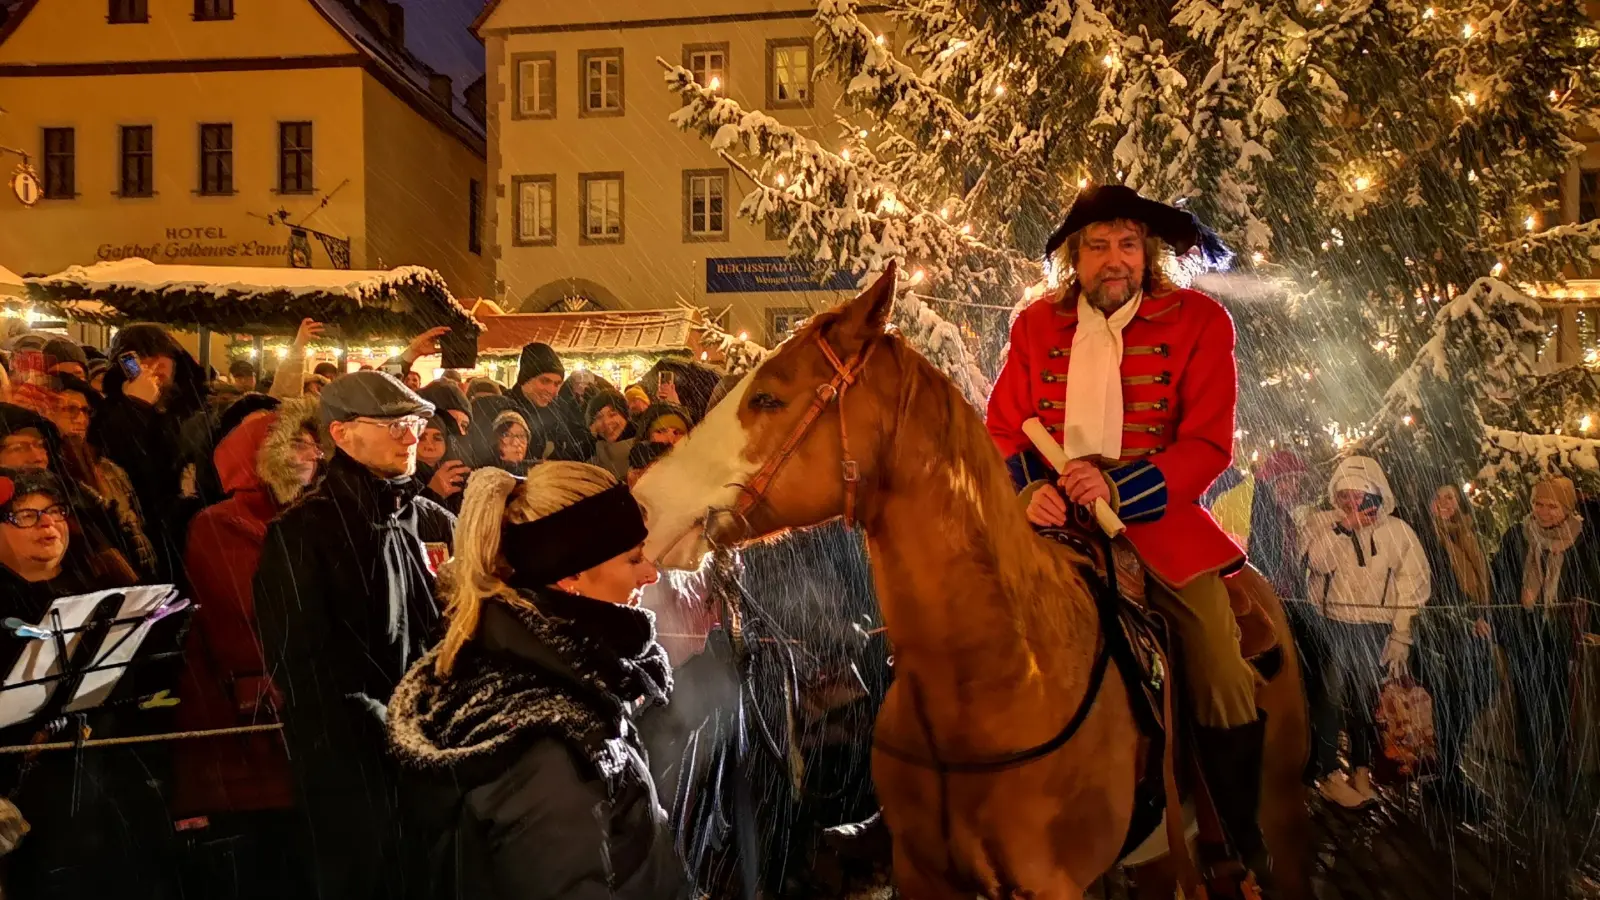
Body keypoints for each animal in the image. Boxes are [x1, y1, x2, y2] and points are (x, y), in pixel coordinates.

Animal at [636, 262, 1312, 890]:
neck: (998, 675)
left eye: (769, 398)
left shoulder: (1050, 885)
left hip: (1277, 814)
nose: (646, 502)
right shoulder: (922, 873)